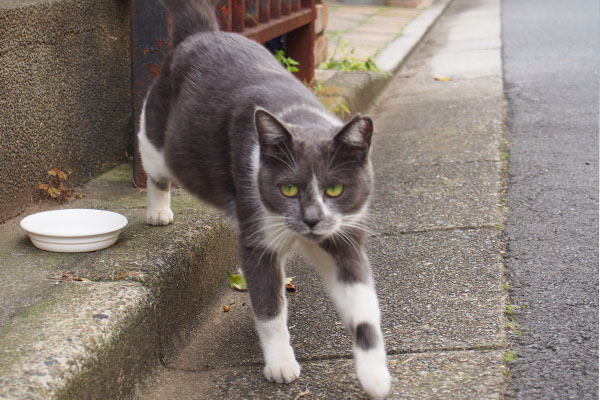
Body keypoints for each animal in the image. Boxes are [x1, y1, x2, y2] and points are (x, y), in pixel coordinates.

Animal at [138, 0, 392, 396]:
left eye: (335, 189)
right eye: (288, 188)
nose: (312, 218)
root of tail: (202, 32)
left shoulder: (344, 237)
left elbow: (364, 306)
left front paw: (375, 376)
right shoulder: (258, 239)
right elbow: (269, 308)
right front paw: (281, 364)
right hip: (157, 138)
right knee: (155, 167)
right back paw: (158, 211)